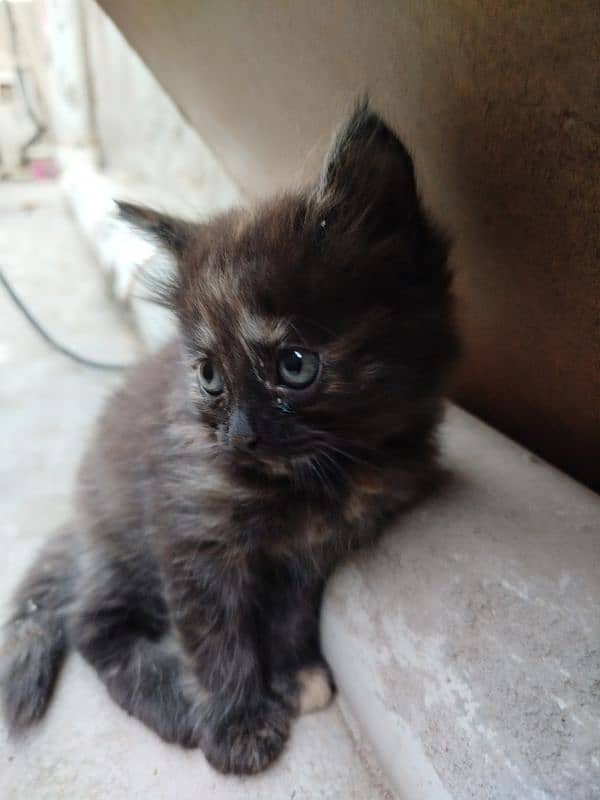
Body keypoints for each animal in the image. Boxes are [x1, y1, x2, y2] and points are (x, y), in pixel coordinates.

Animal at [2, 103, 458, 772]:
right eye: (209, 375)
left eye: (295, 365)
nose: (239, 438)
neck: (323, 481)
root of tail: (80, 515)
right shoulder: (193, 538)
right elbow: (218, 641)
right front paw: (238, 726)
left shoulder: (311, 555)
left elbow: (290, 617)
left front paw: (293, 675)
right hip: (125, 539)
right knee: (91, 622)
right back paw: (172, 700)